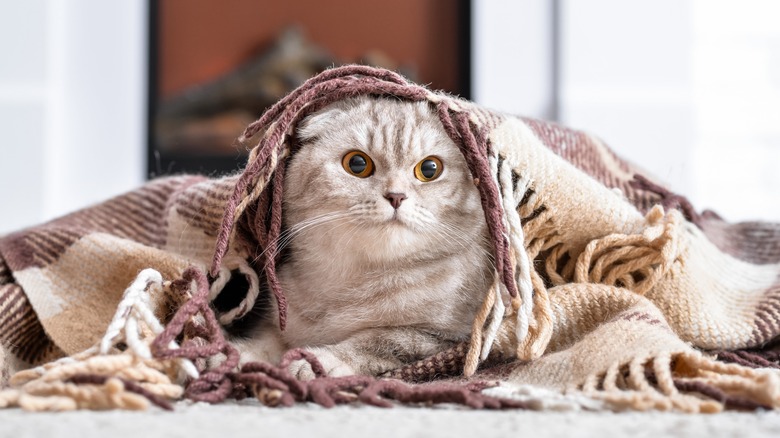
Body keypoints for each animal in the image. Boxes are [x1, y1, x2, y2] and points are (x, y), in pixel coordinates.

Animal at [235, 96, 496, 380]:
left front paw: (320, 360)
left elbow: (378, 339)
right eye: (358, 164)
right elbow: (269, 338)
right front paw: (240, 353)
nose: (396, 196)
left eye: (430, 169)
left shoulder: (449, 337)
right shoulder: (280, 320)